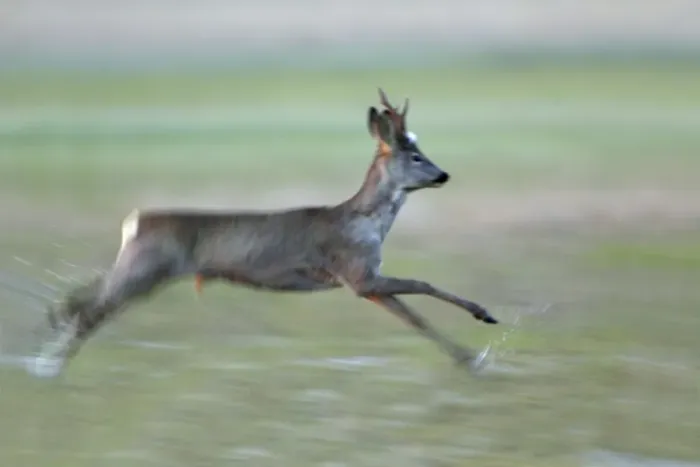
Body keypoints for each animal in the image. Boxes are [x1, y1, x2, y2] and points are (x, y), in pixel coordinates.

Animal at [28, 89, 498, 379]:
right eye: (416, 156)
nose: (443, 174)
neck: (366, 222)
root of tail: (135, 220)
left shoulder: (365, 283)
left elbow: (417, 320)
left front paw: (471, 358)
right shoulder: (357, 273)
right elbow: (424, 285)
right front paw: (484, 320)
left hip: (138, 267)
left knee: (80, 300)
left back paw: (48, 343)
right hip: (147, 269)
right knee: (90, 312)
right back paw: (50, 367)